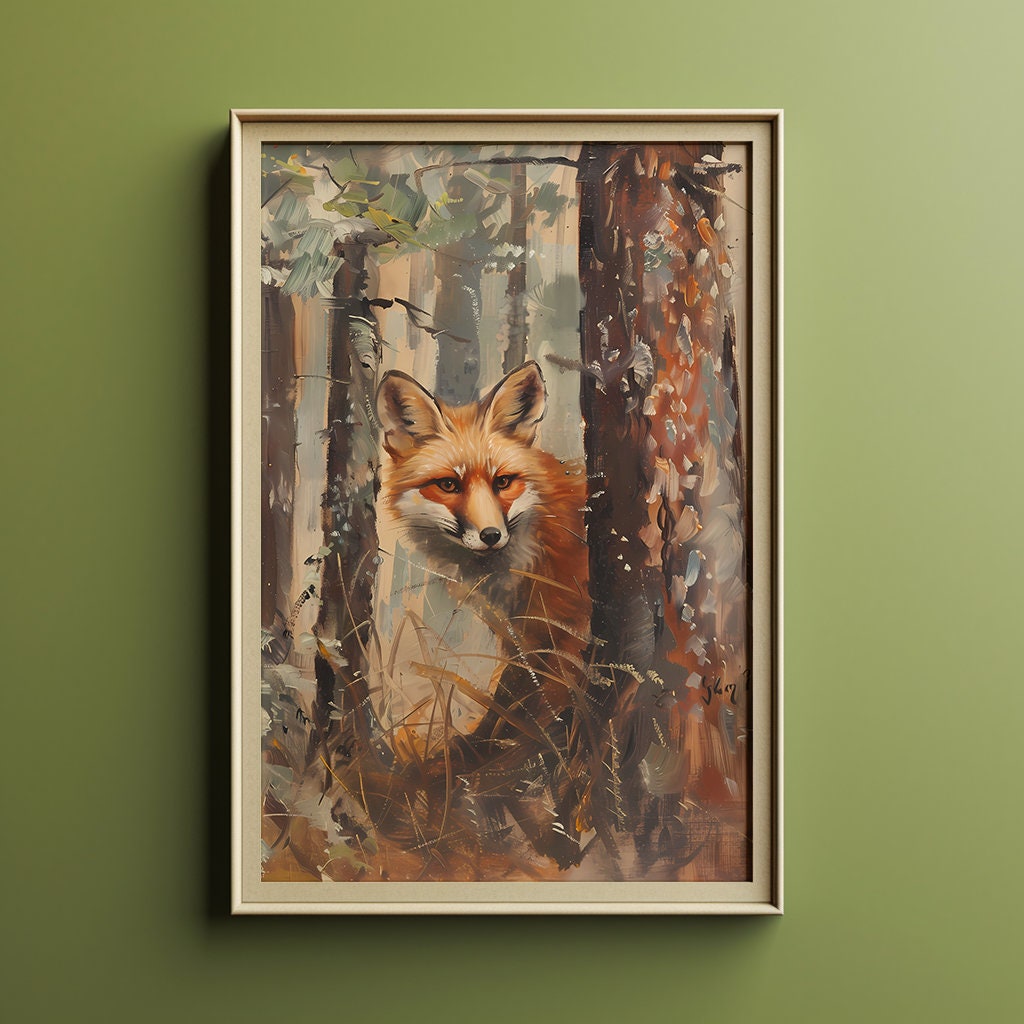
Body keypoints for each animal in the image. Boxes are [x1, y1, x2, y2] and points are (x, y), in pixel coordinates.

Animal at [375, 360, 591, 731]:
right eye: (448, 485)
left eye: (502, 481)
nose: (491, 535)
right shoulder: (524, 639)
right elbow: (512, 699)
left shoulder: (567, 634)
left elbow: (535, 706)